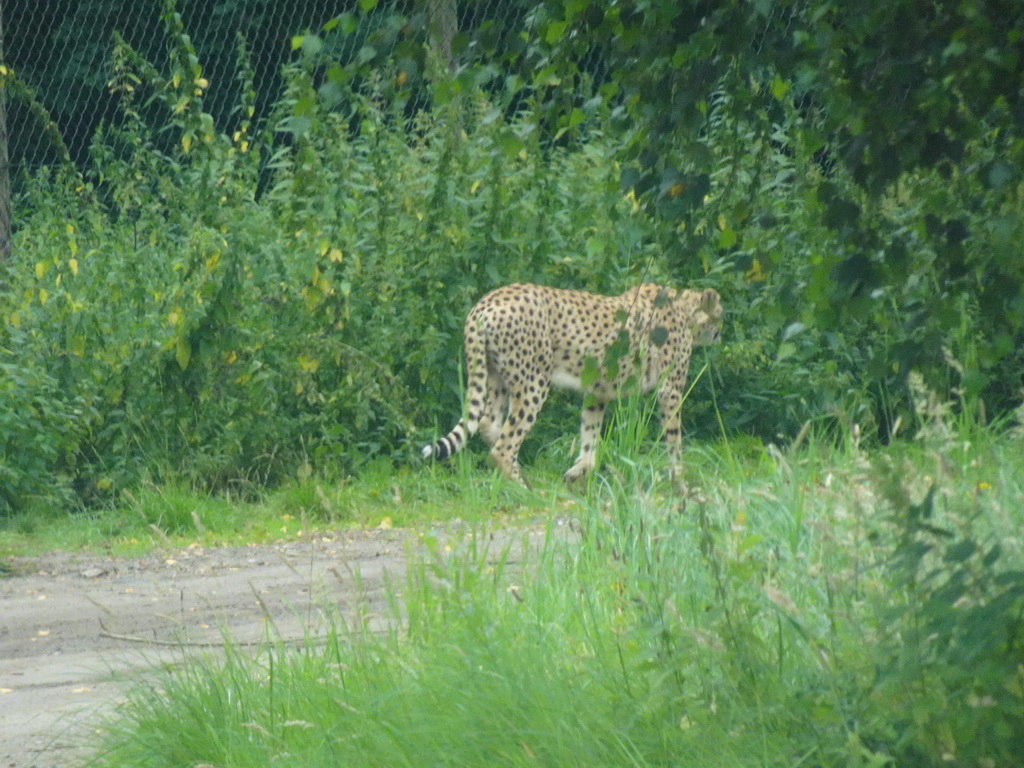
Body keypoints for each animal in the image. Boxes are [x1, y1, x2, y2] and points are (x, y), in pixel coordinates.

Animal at [419, 282, 724, 487]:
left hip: (496, 377)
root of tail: (486, 301)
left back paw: (524, 478)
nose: (720, 333)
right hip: (533, 383)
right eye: (720, 314)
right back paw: (524, 489)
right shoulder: (669, 390)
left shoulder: (597, 391)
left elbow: (590, 434)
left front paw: (578, 471)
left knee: (489, 424)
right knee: (503, 446)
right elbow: (674, 439)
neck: (685, 308)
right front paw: (680, 483)